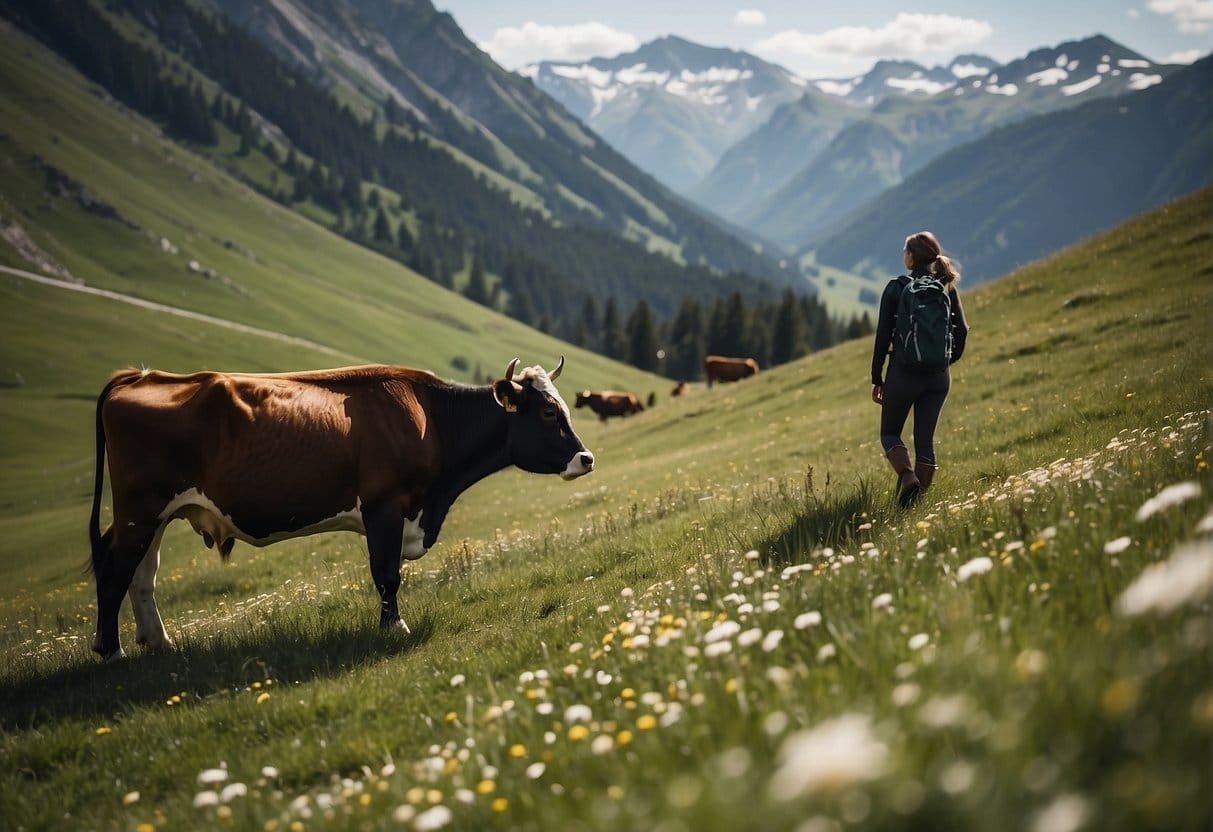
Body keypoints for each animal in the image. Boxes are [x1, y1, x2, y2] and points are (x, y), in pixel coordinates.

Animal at [88, 358, 593, 662]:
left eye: (564, 408)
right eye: (548, 413)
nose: (585, 458)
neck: (430, 418)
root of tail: (139, 376)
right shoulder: (384, 506)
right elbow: (386, 574)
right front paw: (395, 627)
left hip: (153, 515)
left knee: (142, 575)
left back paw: (158, 642)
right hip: (140, 508)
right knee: (115, 571)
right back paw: (111, 652)